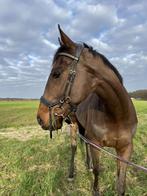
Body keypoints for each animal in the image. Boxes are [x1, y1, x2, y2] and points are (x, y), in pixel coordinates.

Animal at [36, 25, 137, 195]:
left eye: (56, 73)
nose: (40, 118)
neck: (117, 115)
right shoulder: (96, 145)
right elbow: (97, 171)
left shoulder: (125, 150)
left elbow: (121, 185)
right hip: (73, 124)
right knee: (74, 147)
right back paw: (71, 174)